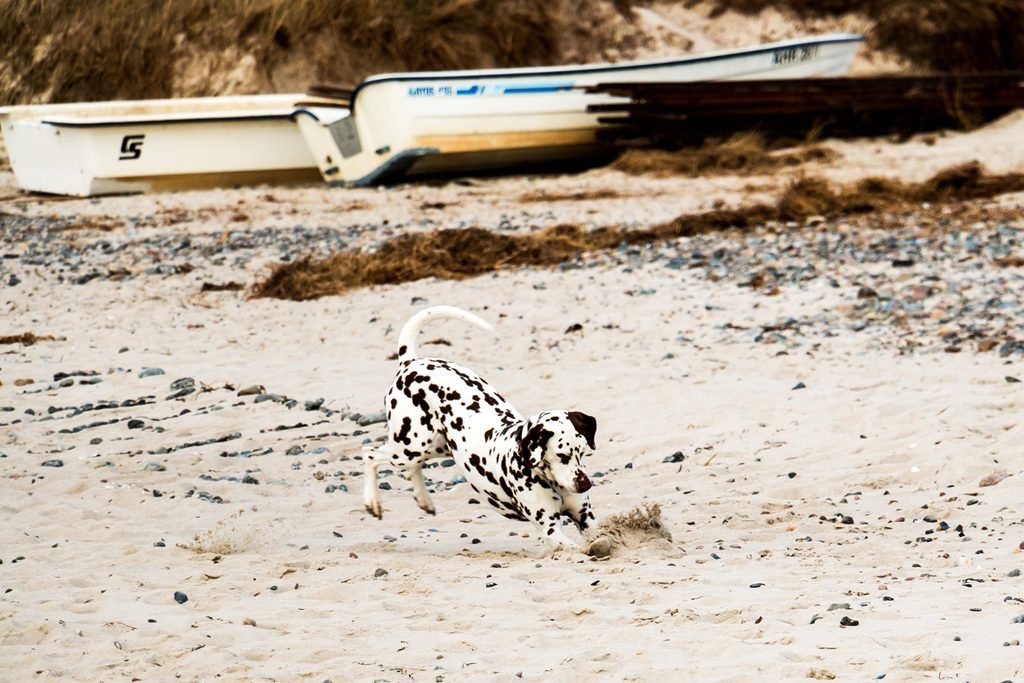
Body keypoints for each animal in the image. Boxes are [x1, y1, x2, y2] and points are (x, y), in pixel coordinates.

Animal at [364, 307, 598, 548]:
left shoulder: (586, 518)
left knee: (413, 466)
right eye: (562, 456)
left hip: (434, 447)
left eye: (582, 453)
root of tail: (410, 362)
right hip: (408, 447)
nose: (585, 484)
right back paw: (373, 501)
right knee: (370, 454)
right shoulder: (551, 531)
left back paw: (423, 499)